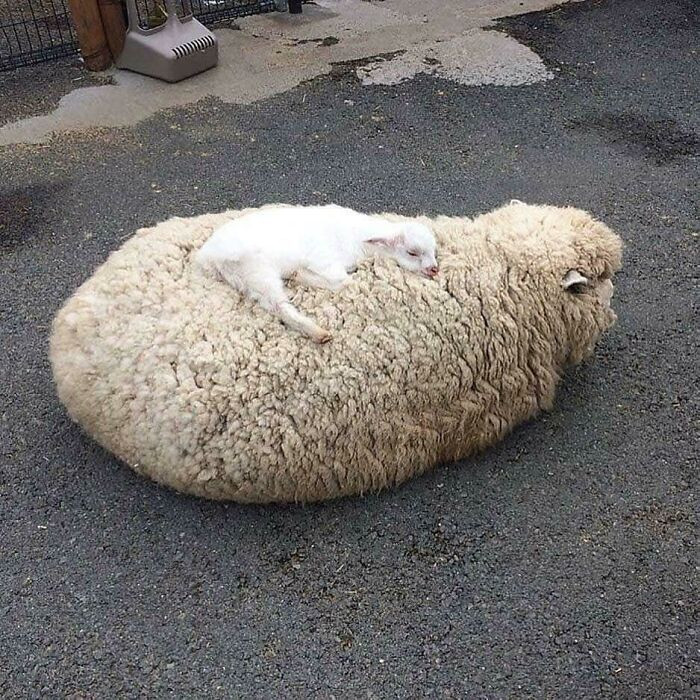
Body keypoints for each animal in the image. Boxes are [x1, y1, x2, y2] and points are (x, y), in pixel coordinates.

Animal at [49, 201, 623, 503]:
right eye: (601, 280)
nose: (434, 269)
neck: (499, 269)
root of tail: (68, 319)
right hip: (258, 273)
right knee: (280, 300)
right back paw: (316, 325)